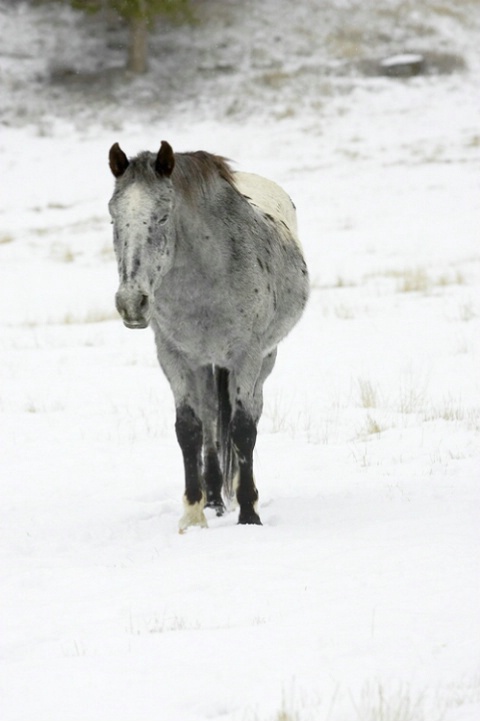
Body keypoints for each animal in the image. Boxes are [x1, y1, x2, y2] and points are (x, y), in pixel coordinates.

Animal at [107, 141, 310, 532]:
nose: (131, 303)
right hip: (205, 365)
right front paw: (192, 515)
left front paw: (249, 514)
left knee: (247, 418)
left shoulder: (246, 356)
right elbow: (189, 429)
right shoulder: (174, 356)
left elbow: (243, 429)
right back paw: (214, 498)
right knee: (213, 422)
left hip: (264, 361)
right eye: (113, 217)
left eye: (163, 216)